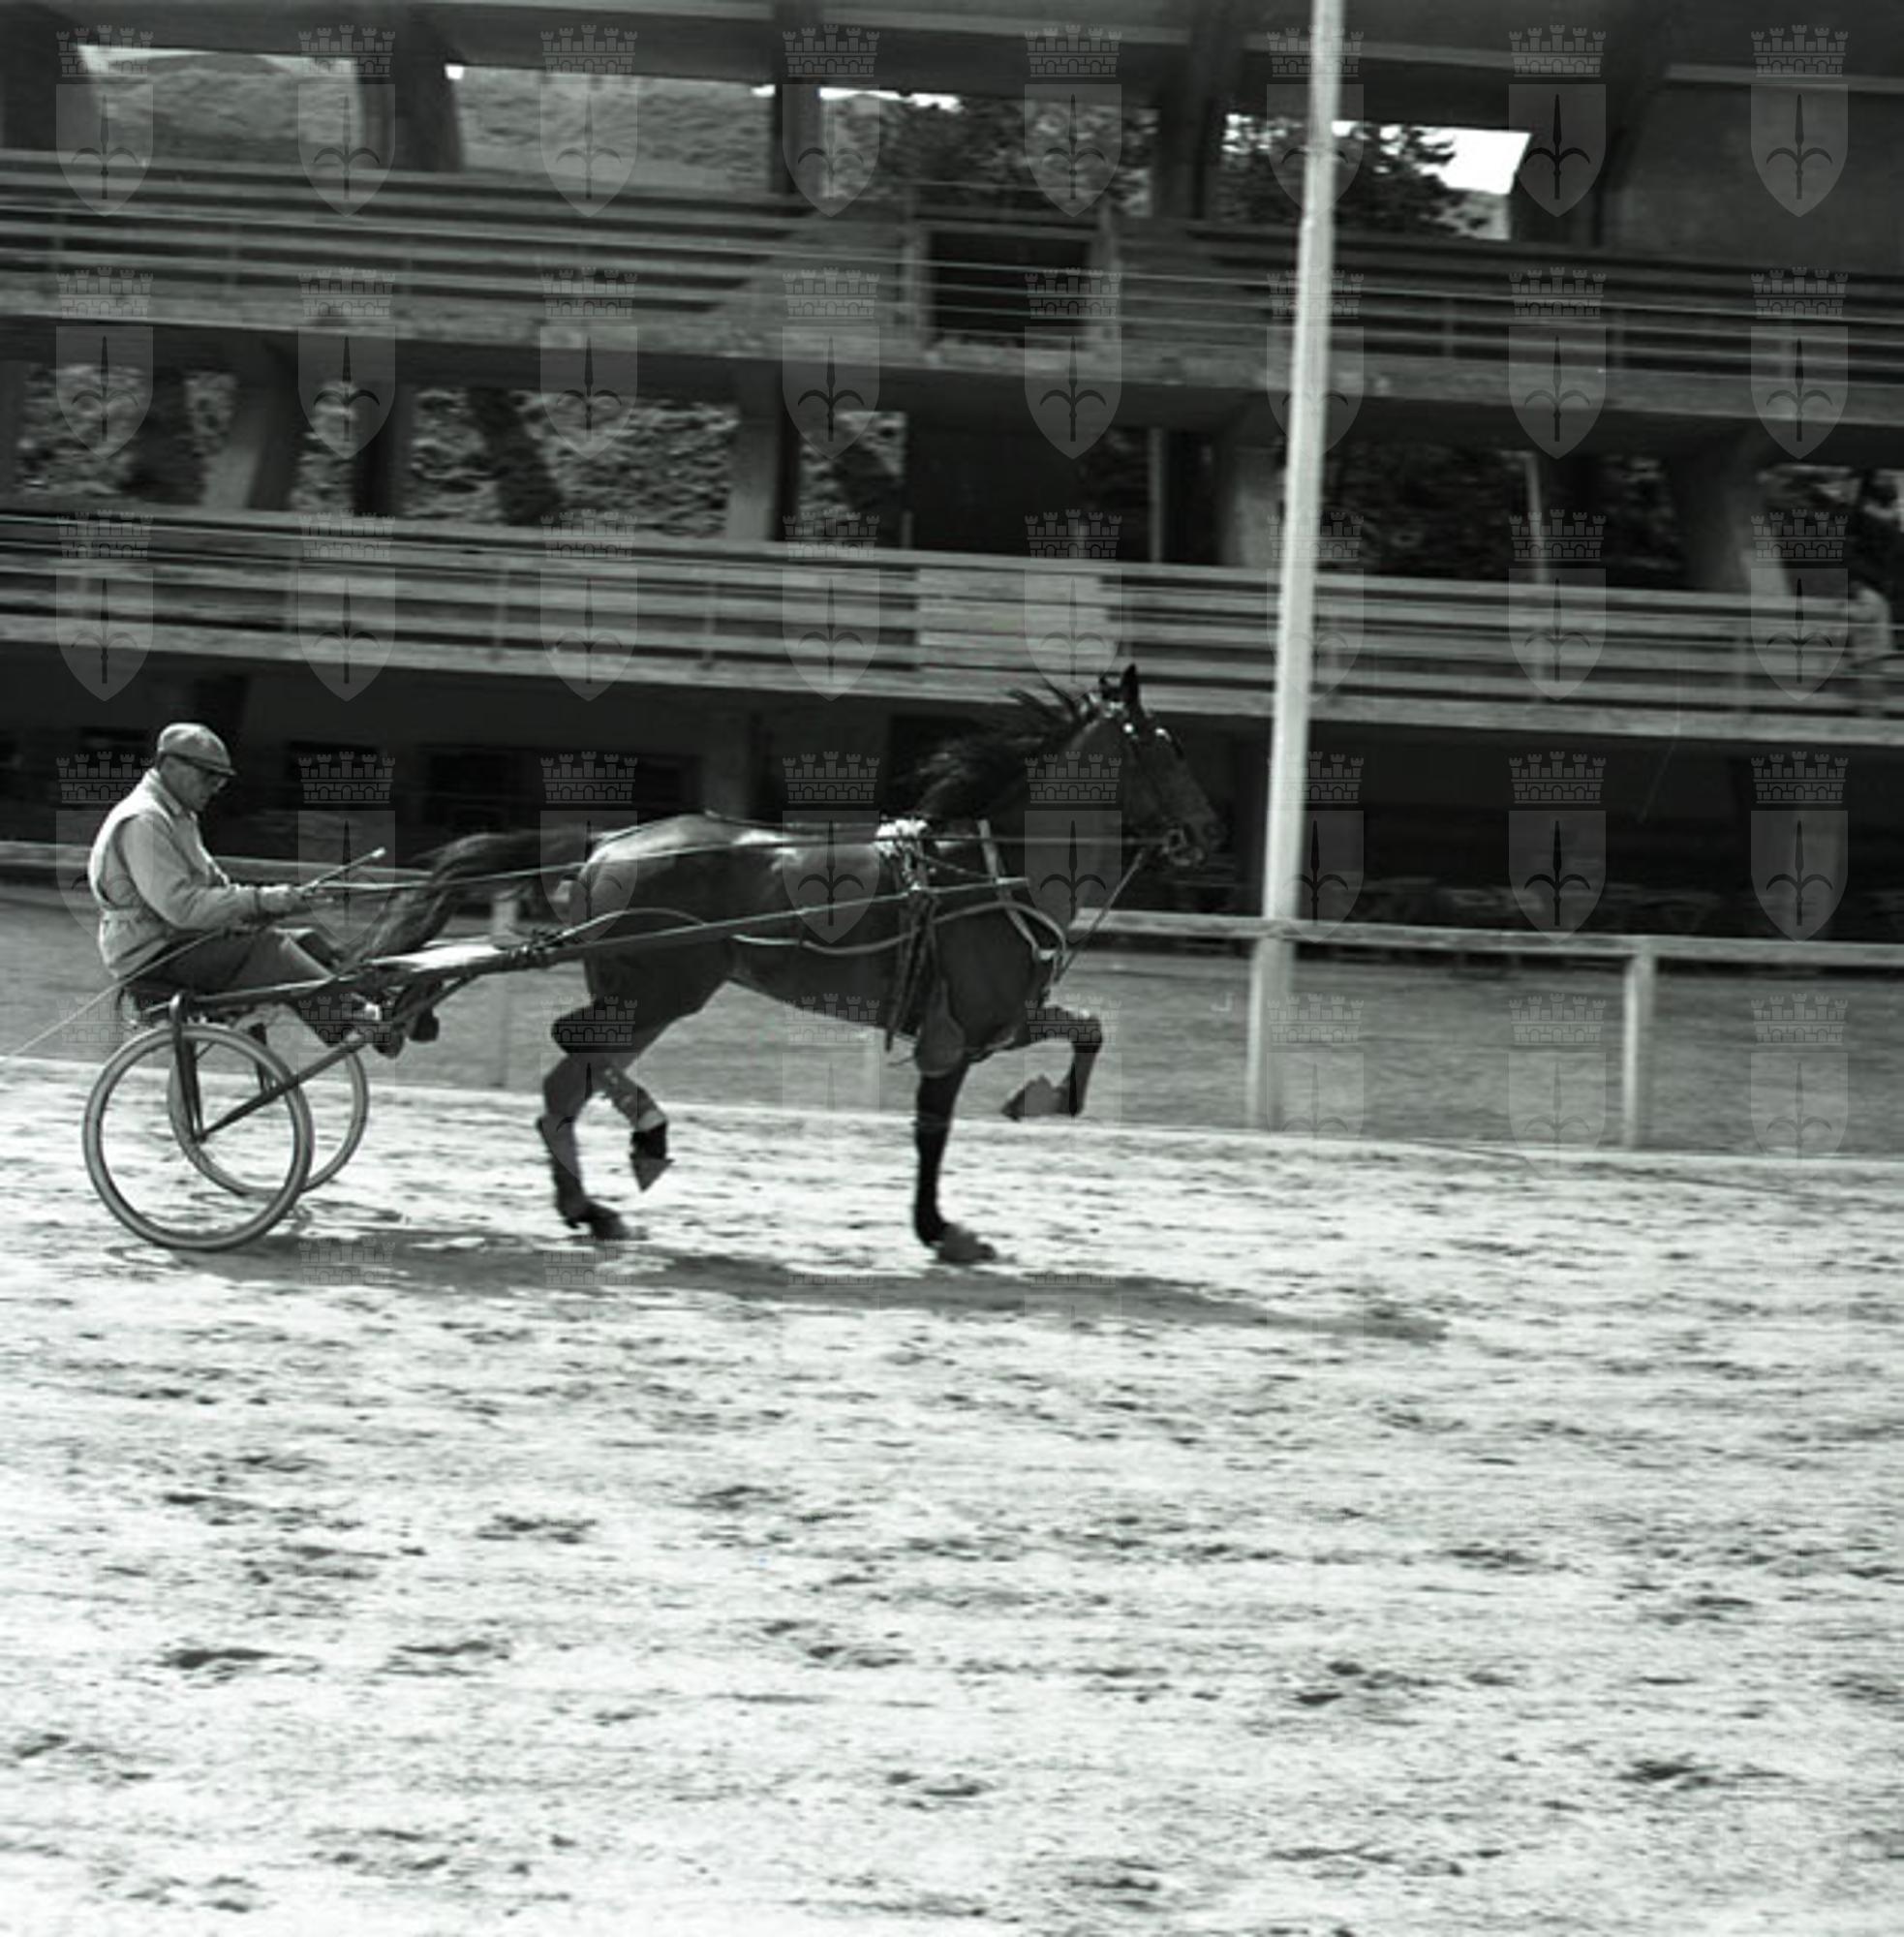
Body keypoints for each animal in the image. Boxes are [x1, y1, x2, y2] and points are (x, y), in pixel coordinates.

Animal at [356, 665, 1223, 1260]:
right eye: (1170, 748)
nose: (1206, 830)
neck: (983, 871)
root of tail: (607, 841)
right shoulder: (955, 1033)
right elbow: (933, 1132)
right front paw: (940, 1229)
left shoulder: (1001, 1017)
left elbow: (1090, 1031)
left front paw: (1034, 1099)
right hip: (662, 990)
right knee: (575, 1059)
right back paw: (635, 1154)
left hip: (641, 991)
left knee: (569, 1078)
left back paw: (592, 1205)